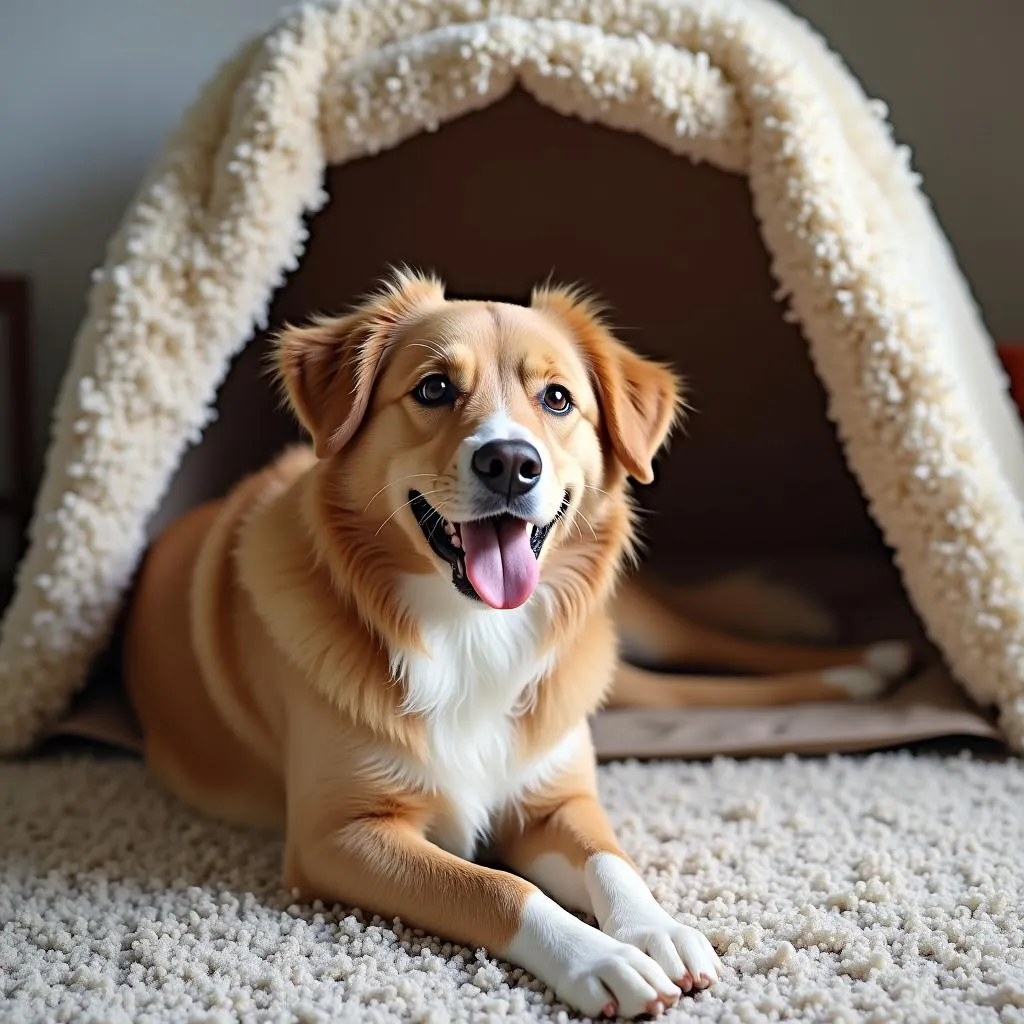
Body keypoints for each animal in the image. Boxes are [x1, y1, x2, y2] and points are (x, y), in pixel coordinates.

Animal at [121, 270, 913, 1015]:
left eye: (557, 399)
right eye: (434, 388)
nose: (511, 462)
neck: (473, 632)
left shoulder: (555, 794)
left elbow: (610, 860)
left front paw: (655, 927)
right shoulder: (339, 837)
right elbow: (496, 887)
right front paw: (602, 958)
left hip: (616, 646)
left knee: (710, 653)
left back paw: (863, 666)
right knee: (683, 690)